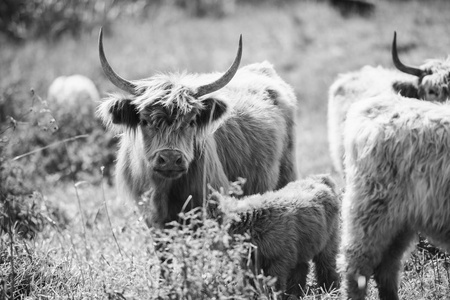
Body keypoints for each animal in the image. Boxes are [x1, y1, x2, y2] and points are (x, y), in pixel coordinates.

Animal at [207, 173, 342, 298]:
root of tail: (321, 179)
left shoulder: (277, 258)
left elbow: (273, 282)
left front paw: (272, 295)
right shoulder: (252, 260)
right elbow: (251, 281)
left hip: (328, 238)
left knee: (325, 263)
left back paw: (329, 288)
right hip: (303, 245)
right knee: (301, 268)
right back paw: (295, 293)